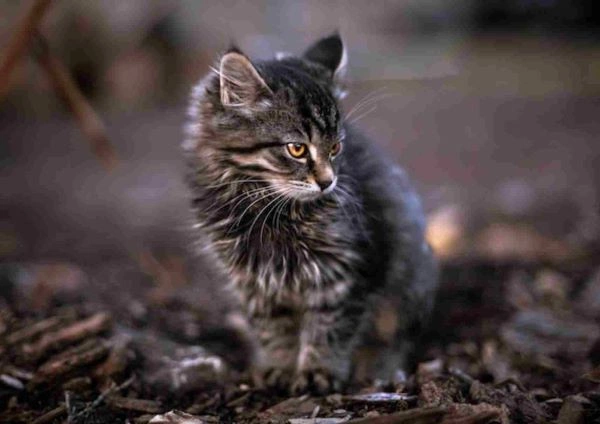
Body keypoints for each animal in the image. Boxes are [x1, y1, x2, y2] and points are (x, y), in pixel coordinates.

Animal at [183, 33, 436, 394]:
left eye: (336, 148)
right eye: (297, 149)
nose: (328, 182)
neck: (268, 210)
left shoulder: (346, 270)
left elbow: (329, 328)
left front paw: (318, 371)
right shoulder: (255, 282)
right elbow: (273, 330)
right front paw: (280, 367)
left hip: (410, 287)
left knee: (395, 338)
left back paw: (377, 366)